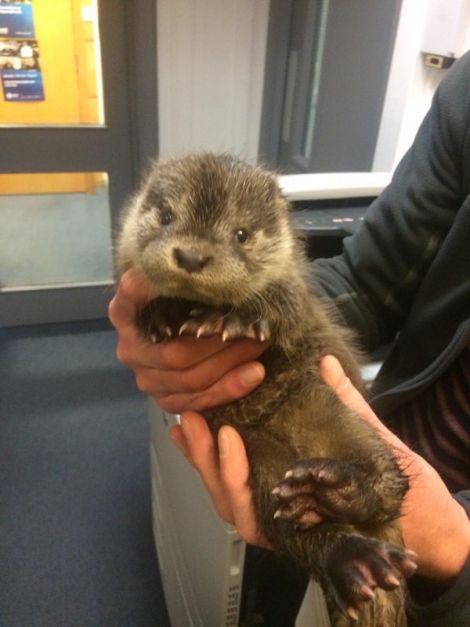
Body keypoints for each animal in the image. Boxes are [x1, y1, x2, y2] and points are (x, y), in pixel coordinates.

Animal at [115, 153, 416, 627]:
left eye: (241, 233)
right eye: (165, 216)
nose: (192, 255)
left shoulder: (298, 297)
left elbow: (281, 308)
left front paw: (238, 319)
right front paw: (162, 313)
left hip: (339, 417)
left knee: (390, 483)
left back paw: (342, 489)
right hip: (264, 471)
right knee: (294, 529)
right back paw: (344, 547)